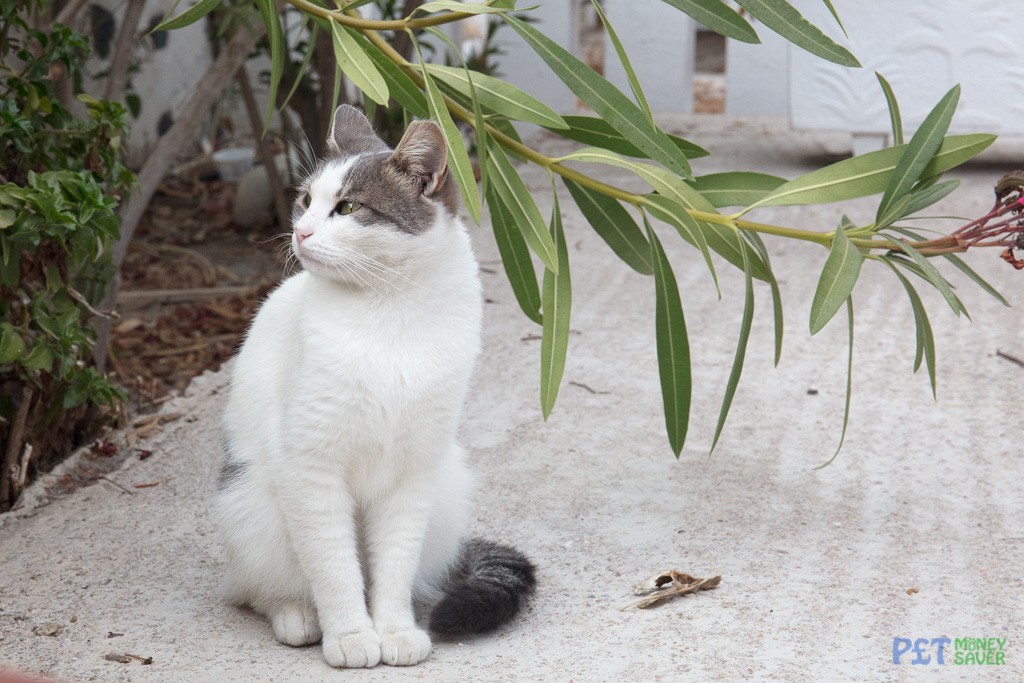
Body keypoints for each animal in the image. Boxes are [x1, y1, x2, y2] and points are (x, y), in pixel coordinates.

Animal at [216, 105, 536, 667]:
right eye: (306, 200)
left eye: (347, 207)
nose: (300, 233)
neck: (389, 310)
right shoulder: (311, 469)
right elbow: (333, 567)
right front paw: (350, 636)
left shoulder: (413, 473)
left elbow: (395, 564)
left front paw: (394, 630)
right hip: (252, 506)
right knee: (258, 589)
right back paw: (297, 616)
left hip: (447, 487)